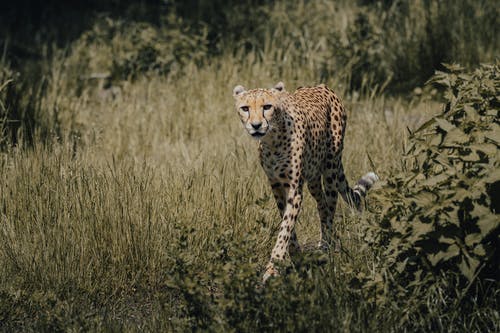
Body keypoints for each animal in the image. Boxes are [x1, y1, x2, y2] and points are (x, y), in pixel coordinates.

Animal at [232, 80, 376, 280]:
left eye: (267, 107)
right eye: (245, 108)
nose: (256, 125)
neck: (272, 140)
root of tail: (322, 86)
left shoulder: (294, 190)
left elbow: (285, 229)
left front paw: (272, 268)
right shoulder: (276, 186)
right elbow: (287, 226)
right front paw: (295, 256)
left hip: (331, 168)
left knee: (330, 206)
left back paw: (326, 245)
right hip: (313, 177)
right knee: (321, 203)